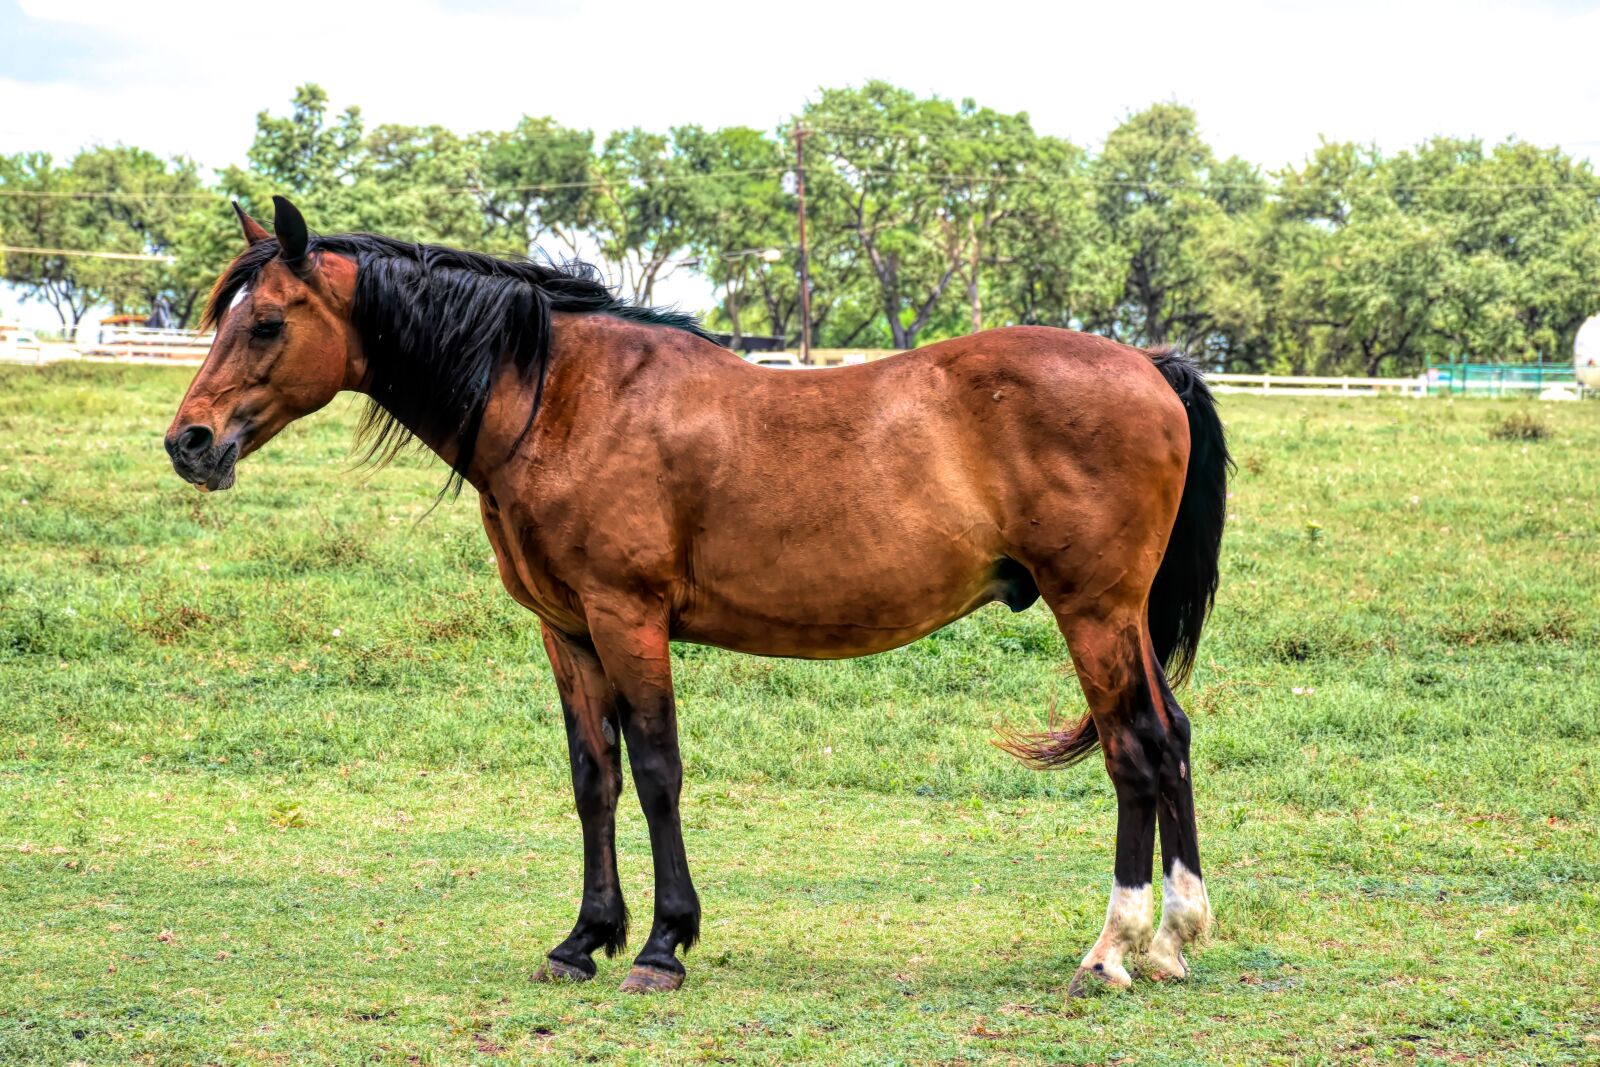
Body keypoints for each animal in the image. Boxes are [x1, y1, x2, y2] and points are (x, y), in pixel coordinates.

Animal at [166, 196, 1229, 996]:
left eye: (266, 322)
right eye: (225, 316)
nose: (189, 442)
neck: (565, 399)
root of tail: (1149, 364)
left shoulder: (627, 618)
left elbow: (656, 770)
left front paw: (662, 945)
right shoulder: (567, 633)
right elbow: (593, 777)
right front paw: (583, 940)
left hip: (1092, 610)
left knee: (1136, 747)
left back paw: (1112, 949)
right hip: (1120, 617)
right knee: (1171, 735)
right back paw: (1174, 938)